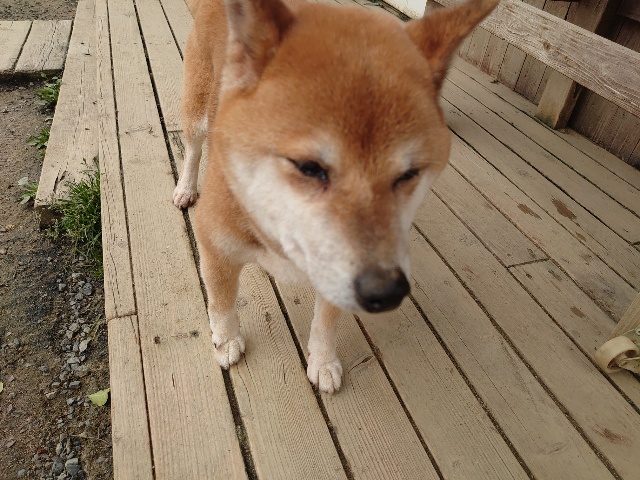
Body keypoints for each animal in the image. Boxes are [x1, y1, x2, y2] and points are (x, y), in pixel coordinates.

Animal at [174, 0, 498, 393]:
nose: (387, 291)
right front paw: (226, 341)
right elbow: (221, 305)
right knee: (193, 147)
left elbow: (326, 322)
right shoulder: (216, 249)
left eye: (409, 174)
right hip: (197, 108)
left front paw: (323, 361)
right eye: (309, 167)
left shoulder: (337, 276)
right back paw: (186, 187)